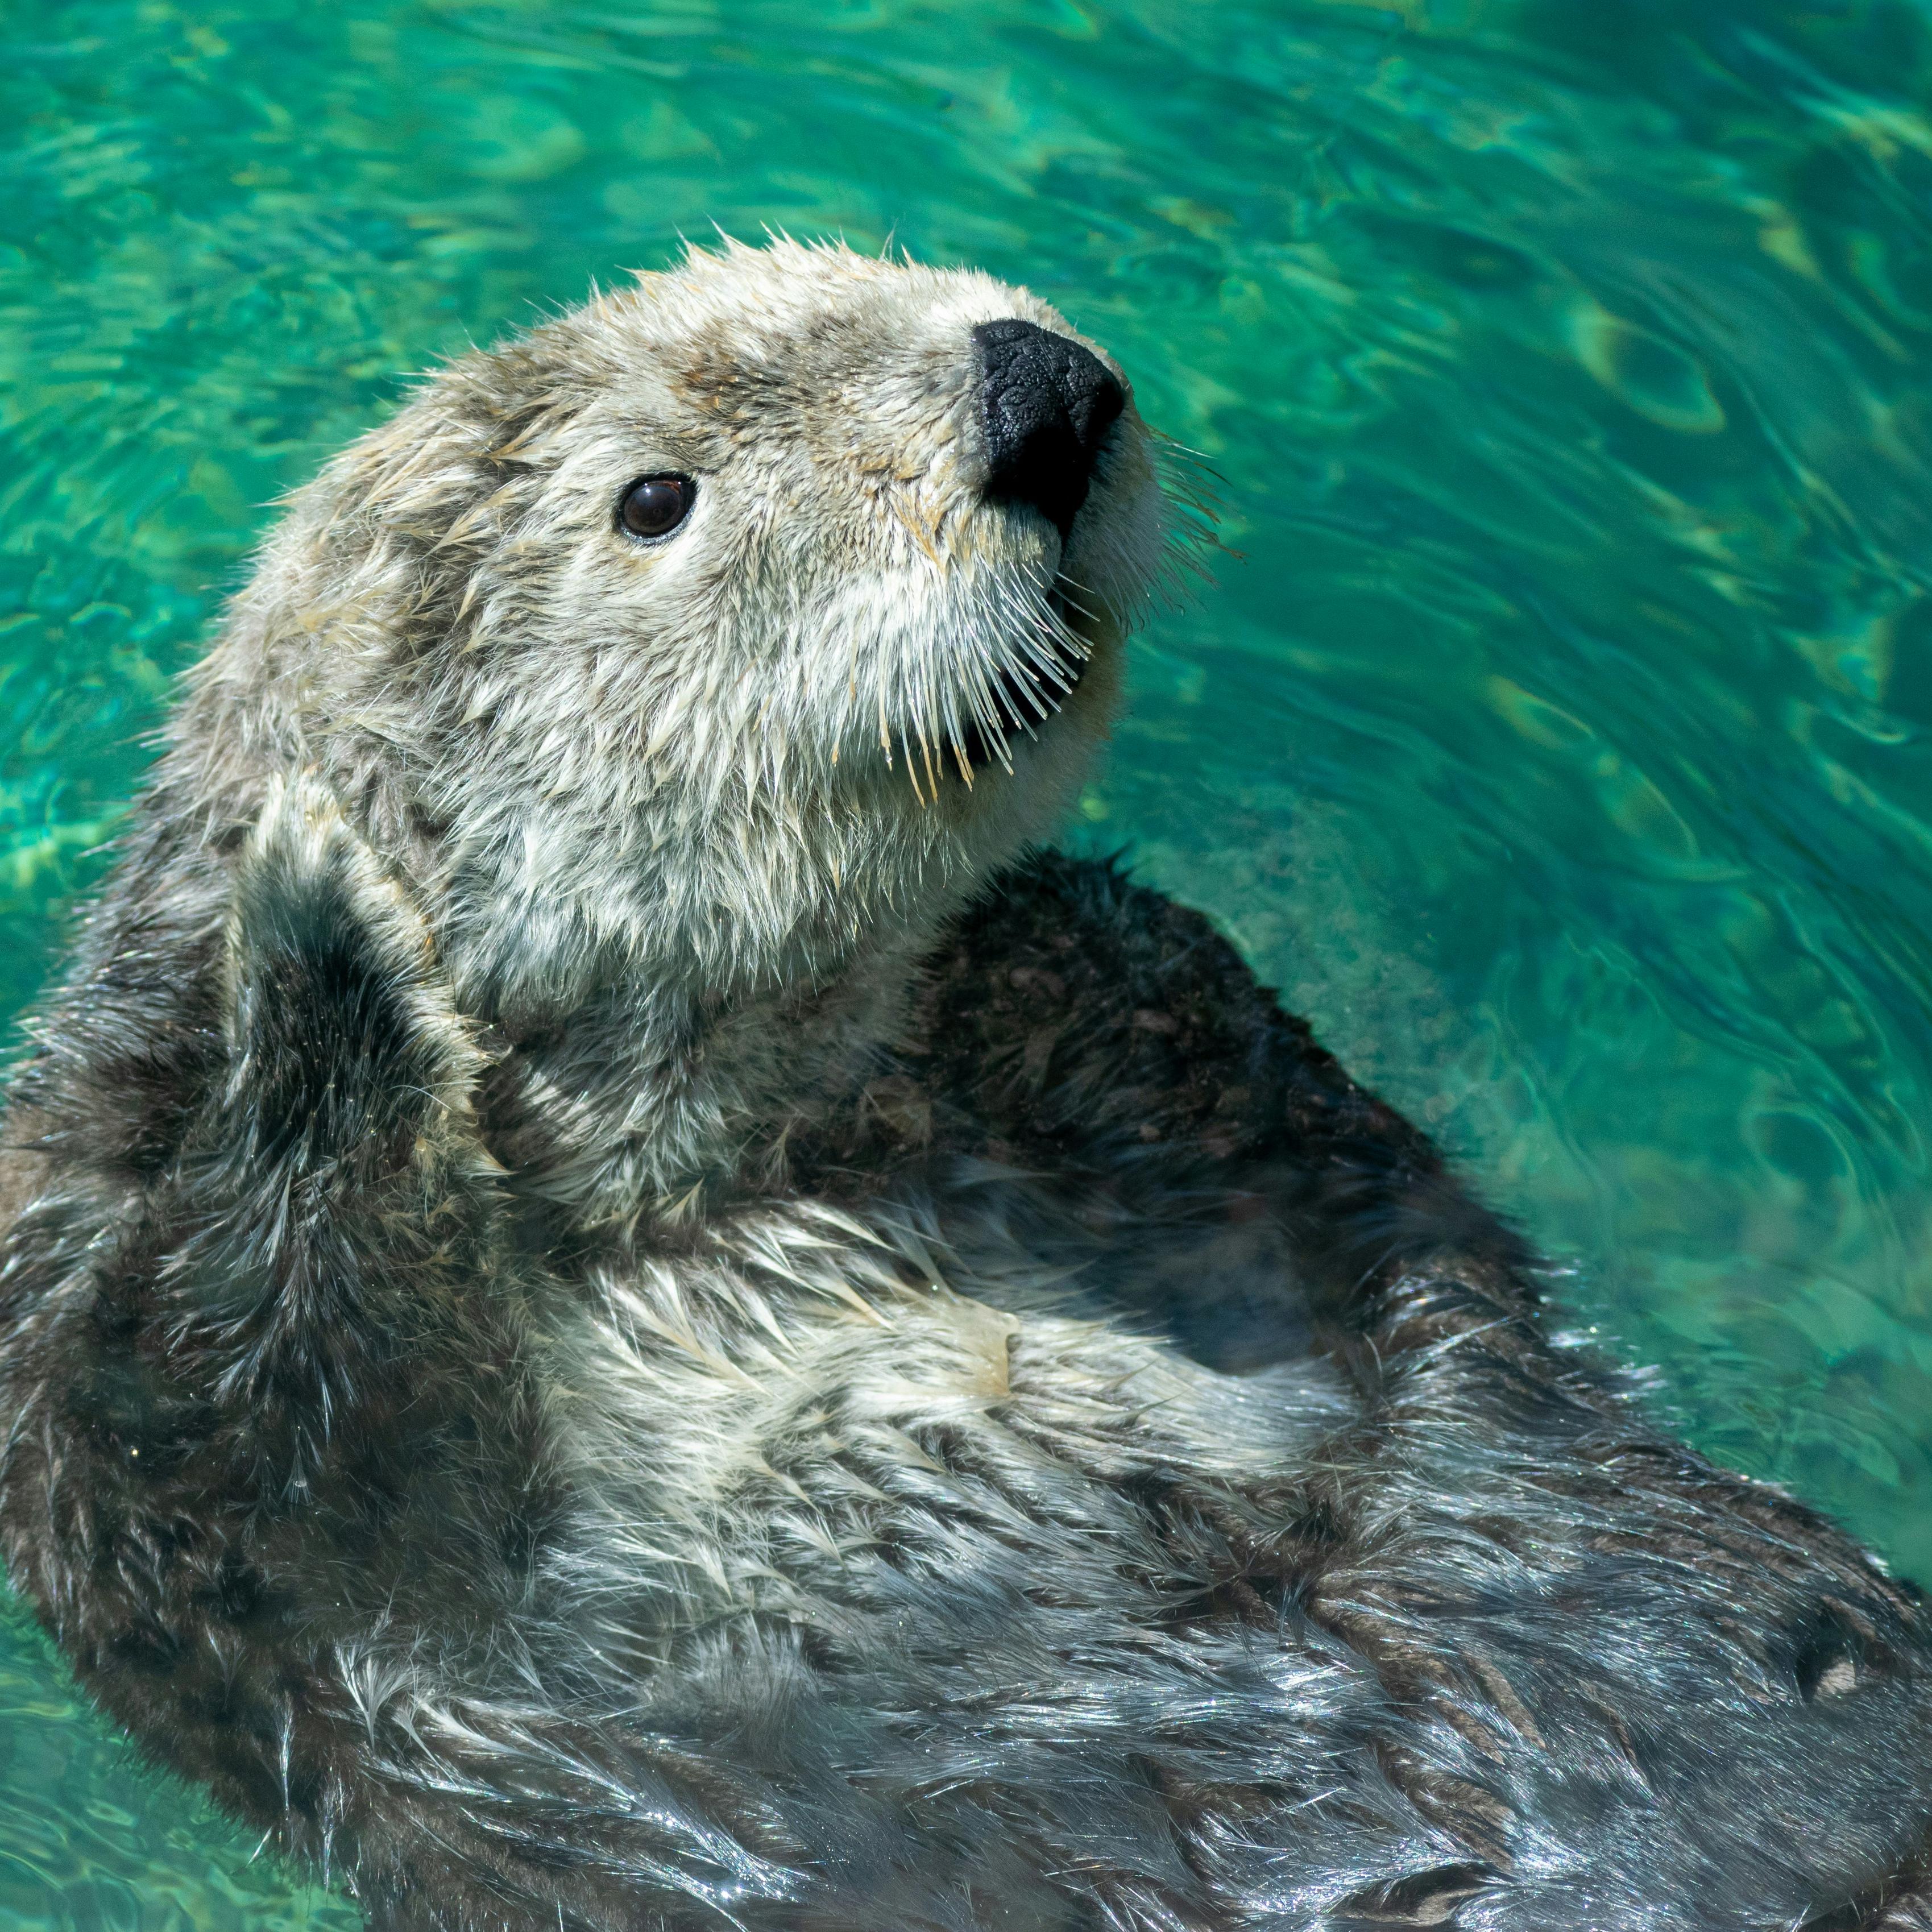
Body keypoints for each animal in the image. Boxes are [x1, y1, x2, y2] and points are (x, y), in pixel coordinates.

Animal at [1, 239, 1928, 1931]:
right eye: (652, 498)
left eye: (883, 270)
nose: (1038, 387)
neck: (744, 1175)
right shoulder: (165, 1450)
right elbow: (285, 1435)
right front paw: (320, 929)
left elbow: (1379, 1232)